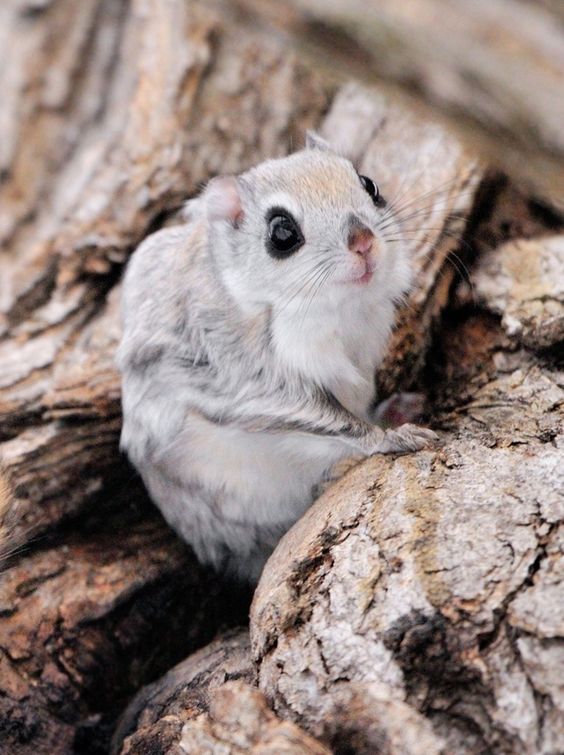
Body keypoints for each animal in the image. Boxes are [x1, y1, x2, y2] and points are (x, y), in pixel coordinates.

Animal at [117, 132, 438, 582]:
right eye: (282, 233)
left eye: (369, 184)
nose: (363, 241)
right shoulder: (238, 370)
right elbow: (326, 416)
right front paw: (386, 438)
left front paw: (389, 416)